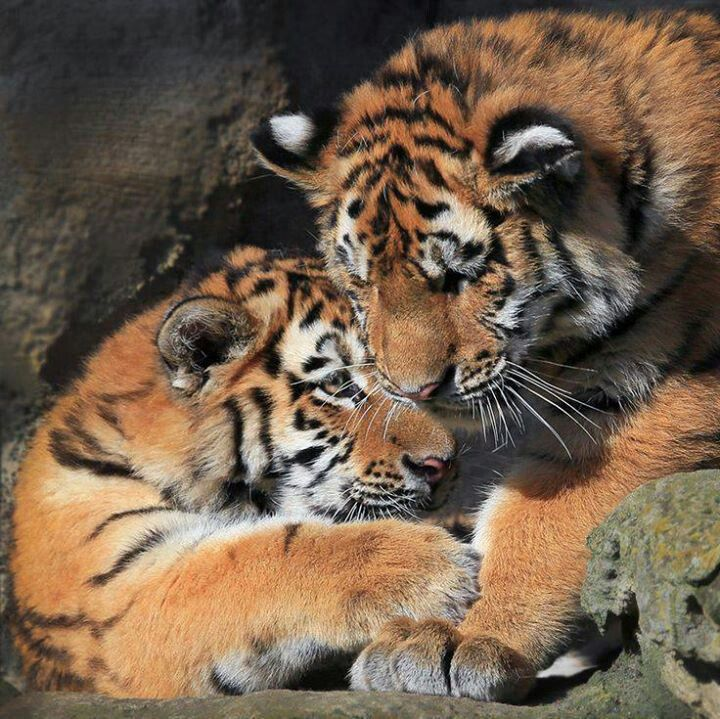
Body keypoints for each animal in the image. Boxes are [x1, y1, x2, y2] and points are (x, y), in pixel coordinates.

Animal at [252, 9, 720, 702]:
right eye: (362, 281)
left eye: (458, 276)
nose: (412, 391)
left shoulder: (664, 395)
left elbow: (541, 522)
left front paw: (475, 639)